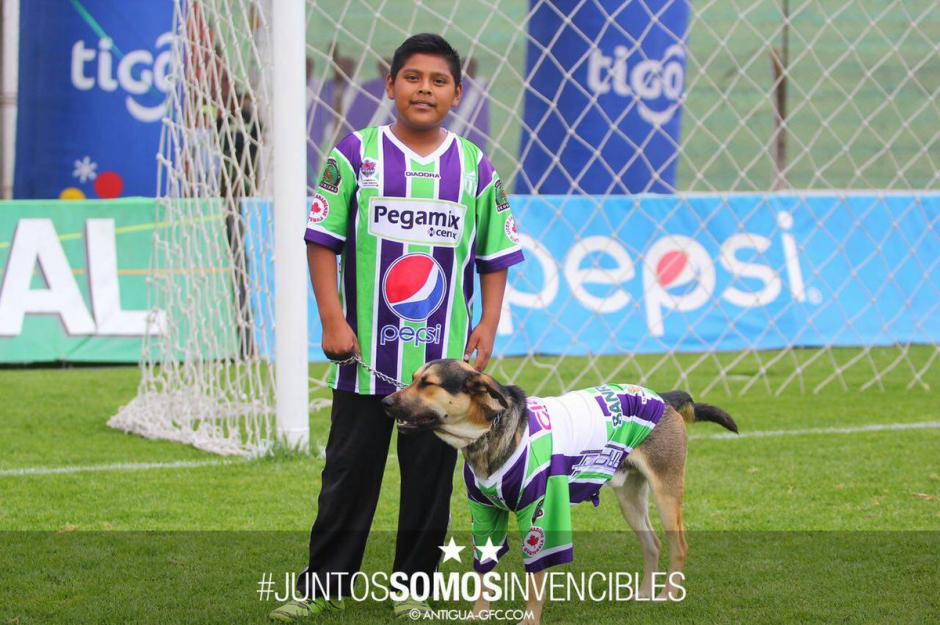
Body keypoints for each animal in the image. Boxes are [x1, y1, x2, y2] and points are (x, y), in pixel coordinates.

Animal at [378, 358, 740, 620]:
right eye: (413, 378)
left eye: (428, 384)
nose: (384, 401)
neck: (489, 431)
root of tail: (665, 398)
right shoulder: (485, 514)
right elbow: (483, 573)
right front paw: (478, 617)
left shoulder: (541, 516)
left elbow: (536, 578)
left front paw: (529, 621)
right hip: (630, 497)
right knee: (652, 544)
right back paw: (644, 593)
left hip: (666, 491)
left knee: (679, 545)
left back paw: (668, 596)